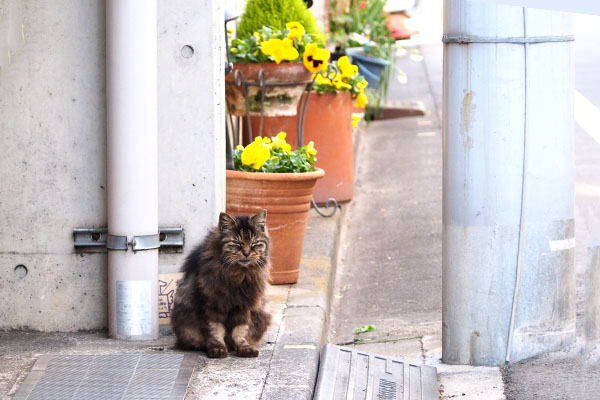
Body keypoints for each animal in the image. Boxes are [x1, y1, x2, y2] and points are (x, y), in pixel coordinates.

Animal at [169, 211, 272, 358]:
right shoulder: (212, 304)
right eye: (237, 243)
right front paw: (217, 349)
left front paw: (244, 347)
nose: (246, 253)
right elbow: (215, 330)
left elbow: (240, 330)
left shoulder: (244, 305)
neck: (239, 276)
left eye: (254, 243)